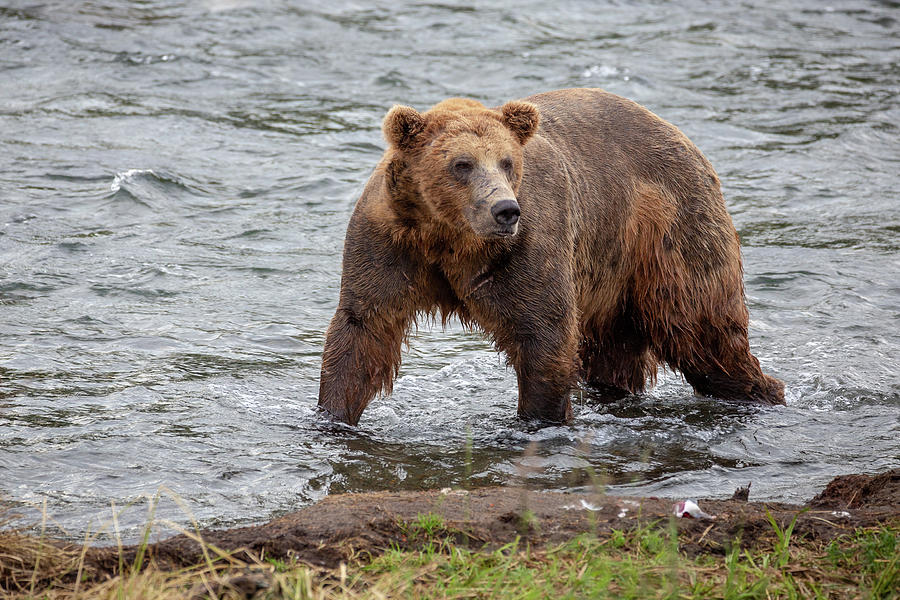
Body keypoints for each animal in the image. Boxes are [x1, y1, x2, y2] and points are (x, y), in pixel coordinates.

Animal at [316, 89, 780, 426]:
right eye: (462, 164)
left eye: (507, 161)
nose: (505, 209)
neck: (451, 240)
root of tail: (680, 135)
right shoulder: (390, 246)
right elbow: (362, 328)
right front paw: (333, 416)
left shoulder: (528, 248)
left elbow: (544, 331)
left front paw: (537, 421)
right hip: (612, 274)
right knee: (616, 352)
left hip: (671, 230)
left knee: (703, 331)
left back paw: (760, 392)